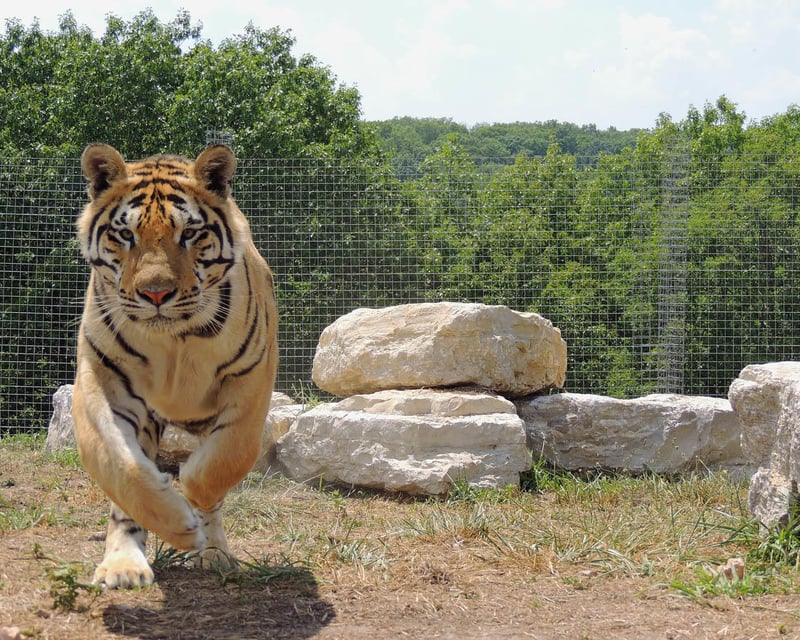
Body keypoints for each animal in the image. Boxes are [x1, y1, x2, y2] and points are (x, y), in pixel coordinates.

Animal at [71, 143, 278, 589]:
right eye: (125, 235)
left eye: (190, 233)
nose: (155, 293)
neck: (174, 339)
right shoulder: (102, 376)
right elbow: (117, 462)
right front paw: (176, 524)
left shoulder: (251, 378)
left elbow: (223, 461)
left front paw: (195, 503)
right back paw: (124, 564)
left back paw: (214, 553)